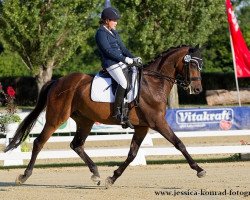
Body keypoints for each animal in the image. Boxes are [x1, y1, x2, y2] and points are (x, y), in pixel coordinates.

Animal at [4, 44, 206, 188]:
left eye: (200, 64)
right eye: (192, 64)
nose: (197, 89)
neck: (153, 83)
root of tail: (57, 81)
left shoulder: (143, 126)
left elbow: (132, 154)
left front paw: (112, 178)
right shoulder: (157, 122)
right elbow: (179, 143)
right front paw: (199, 170)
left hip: (85, 120)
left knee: (76, 145)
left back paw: (96, 174)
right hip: (56, 118)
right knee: (39, 142)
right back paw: (24, 176)